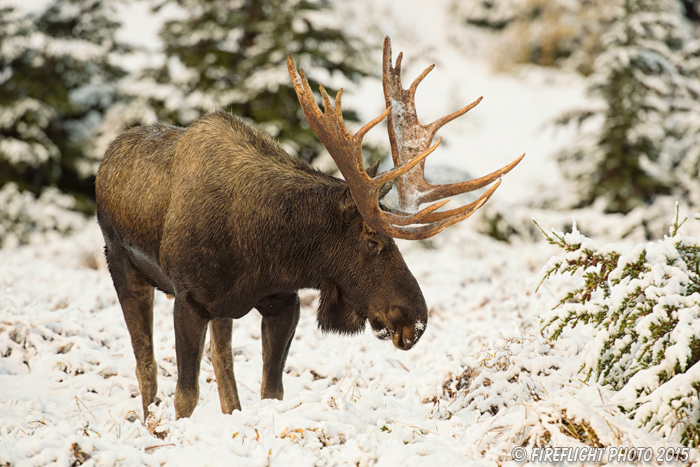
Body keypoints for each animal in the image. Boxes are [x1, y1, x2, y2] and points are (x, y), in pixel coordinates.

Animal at [94, 38, 520, 420]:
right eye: (372, 241)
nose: (415, 322)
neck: (263, 249)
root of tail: (106, 158)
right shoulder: (189, 299)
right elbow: (186, 396)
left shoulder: (284, 300)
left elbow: (271, 390)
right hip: (121, 264)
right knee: (145, 363)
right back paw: (149, 422)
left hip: (217, 309)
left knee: (221, 360)